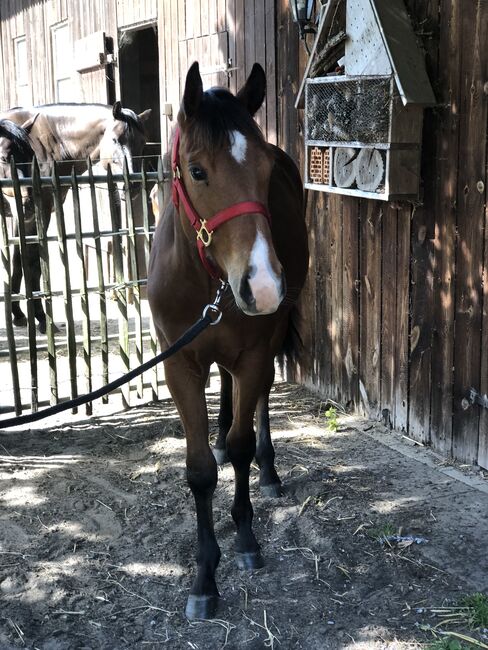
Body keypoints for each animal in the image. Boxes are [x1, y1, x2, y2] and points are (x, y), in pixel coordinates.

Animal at [0, 103, 152, 332]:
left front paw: (18, 314)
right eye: (115, 139)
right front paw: (41, 318)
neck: (50, 142)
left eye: (142, 142)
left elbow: (20, 260)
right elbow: (32, 262)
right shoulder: (38, 212)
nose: (132, 185)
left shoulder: (26, 216)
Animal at [147, 62, 308, 616]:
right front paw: (203, 578)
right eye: (197, 171)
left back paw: (269, 471)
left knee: (256, 402)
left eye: (264, 170)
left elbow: (241, 445)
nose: (263, 284)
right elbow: (199, 471)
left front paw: (245, 539)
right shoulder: (180, 365)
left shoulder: (255, 352)